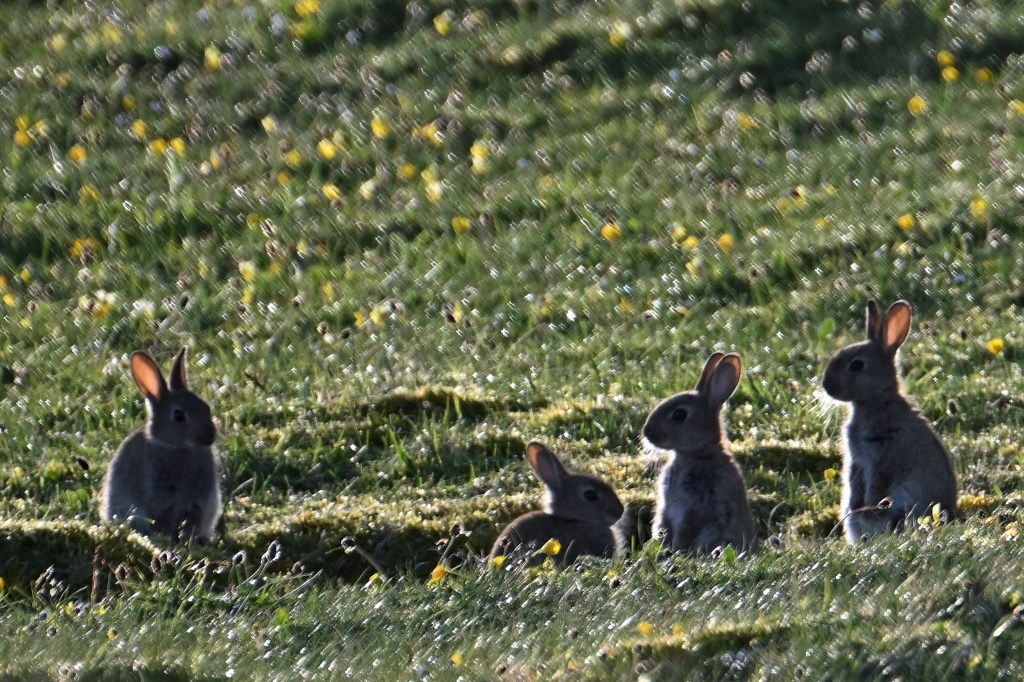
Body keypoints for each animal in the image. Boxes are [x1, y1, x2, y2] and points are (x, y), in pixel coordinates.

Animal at [100, 347, 222, 543]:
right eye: (178, 415)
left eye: (206, 407)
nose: (210, 436)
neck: (176, 447)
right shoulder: (163, 497)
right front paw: (170, 538)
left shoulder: (200, 502)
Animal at [643, 352, 756, 554]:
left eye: (680, 415)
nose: (647, 432)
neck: (697, 453)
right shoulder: (666, 508)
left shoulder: (697, 505)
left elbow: (687, 527)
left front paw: (676, 550)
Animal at [822, 299, 957, 543]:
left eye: (856, 365)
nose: (826, 385)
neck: (874, 400)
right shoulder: (856, 459)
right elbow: (853, 480)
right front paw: (858, 504)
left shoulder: (883, 454)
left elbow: (876, 483)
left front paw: (868, 506)